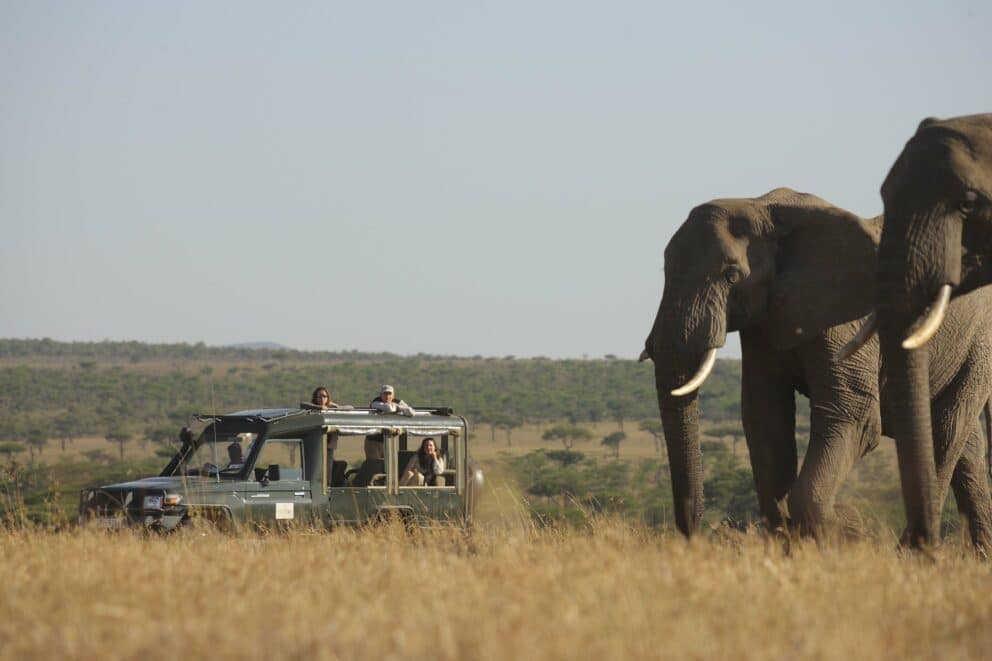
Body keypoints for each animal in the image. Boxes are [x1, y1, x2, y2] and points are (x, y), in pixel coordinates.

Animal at [642, 188, 992, 548]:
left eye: (731, 276)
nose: (695, 534)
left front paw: (842, 533)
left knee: (945, 431)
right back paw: (976, 554)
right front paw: (794, 542)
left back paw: (910, 552)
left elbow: (853, 416)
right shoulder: (763, 320)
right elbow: (765, 417)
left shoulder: (846, 317)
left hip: (976, 343)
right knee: (965, 448)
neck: (763, 208)